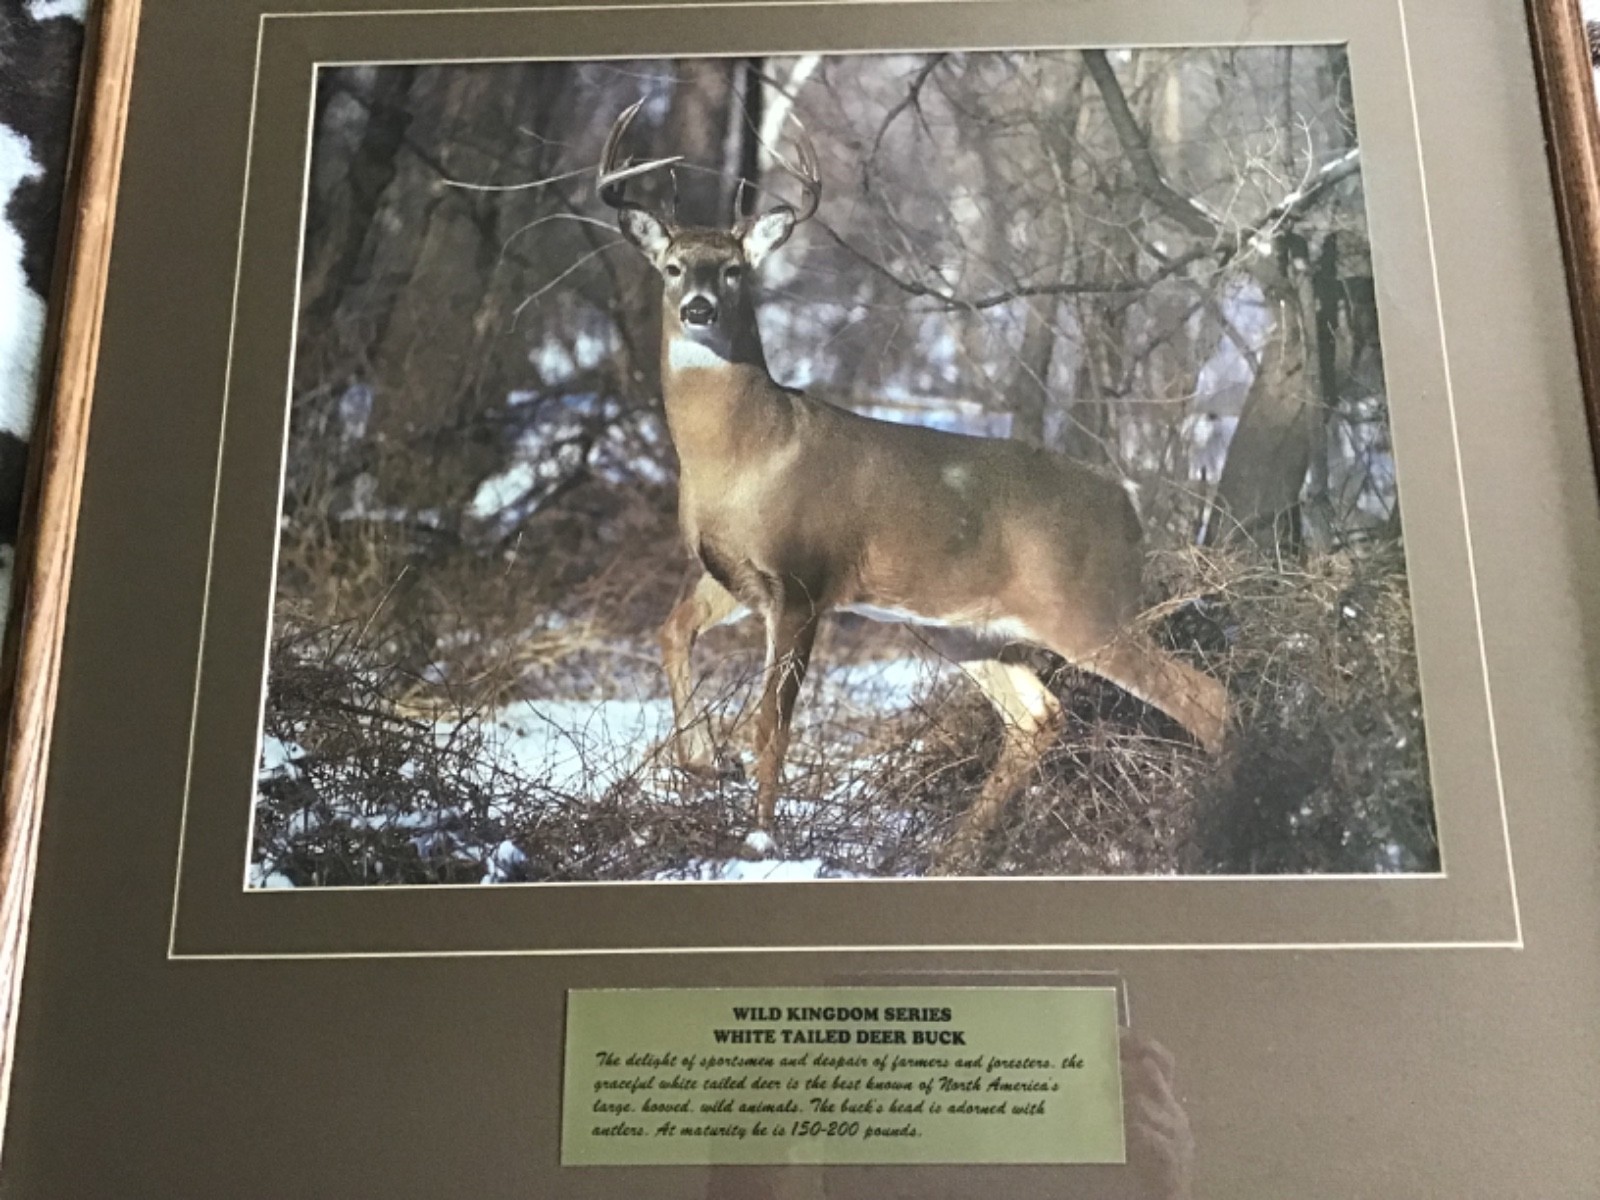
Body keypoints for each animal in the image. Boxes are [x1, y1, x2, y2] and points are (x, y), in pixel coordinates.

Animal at [596, 100, 1229, 870]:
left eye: (736, 271)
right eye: (673, 266)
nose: (698, 309)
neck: (746, 454)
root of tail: (1128, 506)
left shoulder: (805, 579)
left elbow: (773, 723)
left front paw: (759, 841)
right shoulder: (735, 575)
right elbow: (671, 630)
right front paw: (705, 764)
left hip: (1087, 608)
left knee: (1207, 700)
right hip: (971, 630)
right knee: (1040, 716)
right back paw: (951, 854)